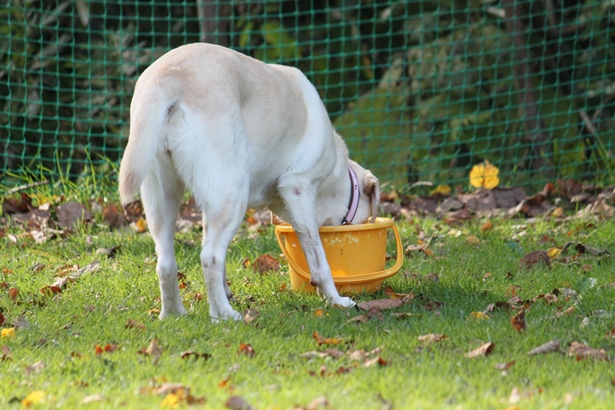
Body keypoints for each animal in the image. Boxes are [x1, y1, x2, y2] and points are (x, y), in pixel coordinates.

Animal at [118, 44, 380, 320]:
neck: (336, 176)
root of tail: (168, 74)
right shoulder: (298, 188)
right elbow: (319, 259)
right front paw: (337, 300)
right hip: (233, 196)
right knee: (210, 256)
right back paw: (224, 315)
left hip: (163, 197)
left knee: (167, 262)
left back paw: (174, 314)